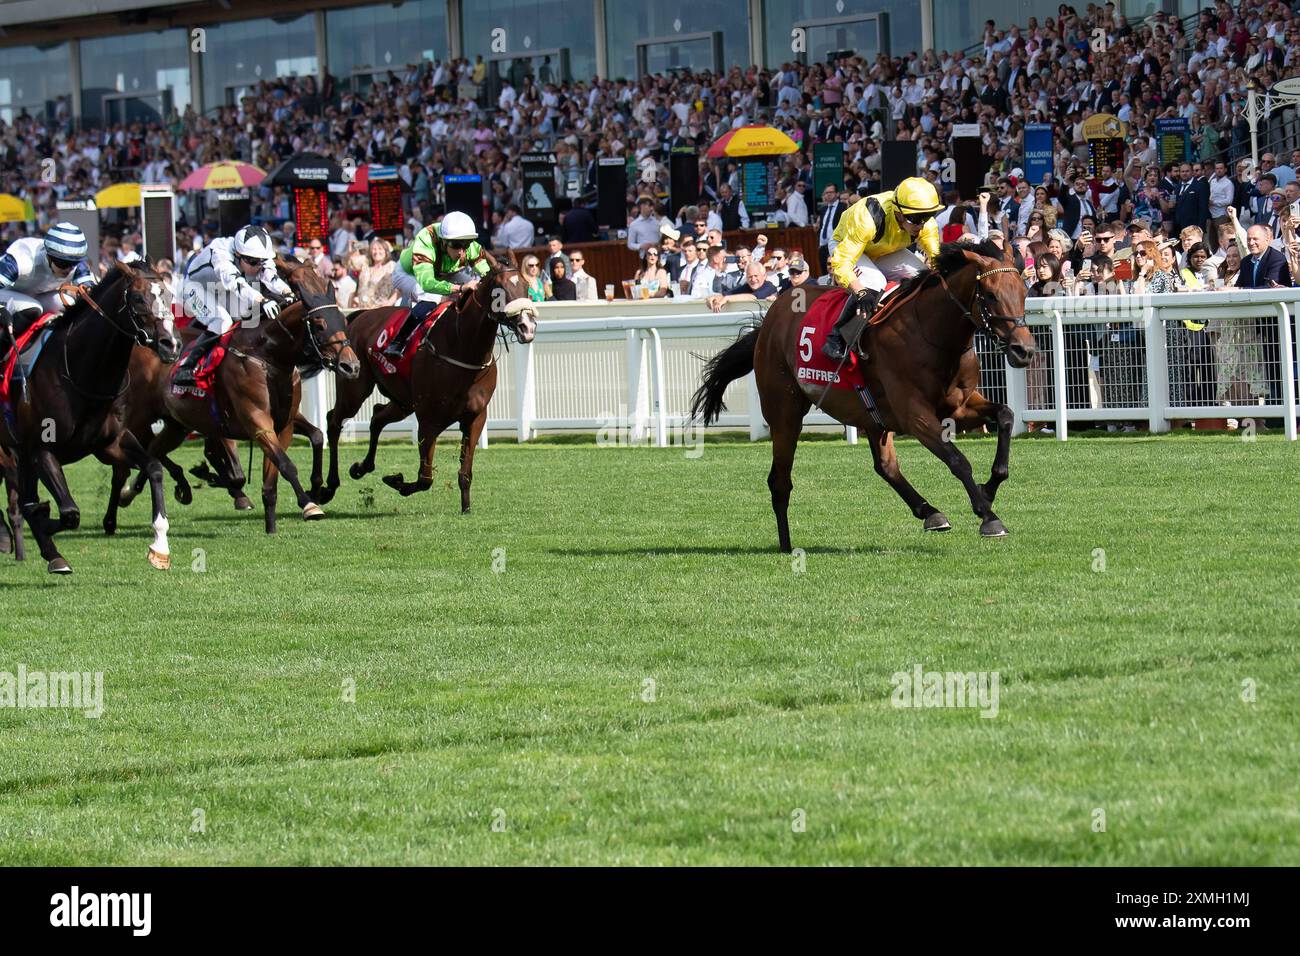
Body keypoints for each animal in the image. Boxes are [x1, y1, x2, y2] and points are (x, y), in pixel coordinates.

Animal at [0, 261, 180, 572]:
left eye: (169, 295)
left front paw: (160, 546)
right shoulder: (40, 449)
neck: (81, 372)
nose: (171, 344)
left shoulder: (111, 442)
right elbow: (68, 512)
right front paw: (44, 520)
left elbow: (154, 468)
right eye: (138, 298)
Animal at [112, 257, 361, 535]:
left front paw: (288, 510)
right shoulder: (255, 422)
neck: (268, 356)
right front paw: (309, 504)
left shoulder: (283, 423)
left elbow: (299, 451)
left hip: (176, 423)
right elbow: (285, 464)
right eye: (319, 324)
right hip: (138, 416)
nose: (351, 365)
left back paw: (144, 492)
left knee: (153, 449)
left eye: (342, 320)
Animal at [323, 254, 538, 509]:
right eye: (500, 291)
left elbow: (465, 472)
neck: (462, 346)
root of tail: (362, 315)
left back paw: (361, 467)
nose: (528, 327)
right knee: (333, 421)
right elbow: (425, 478)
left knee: (376, 416)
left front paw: (466, 508)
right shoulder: (428, 419)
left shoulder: (475, 417)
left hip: (403, 402)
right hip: (354, 389)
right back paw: (327, 487)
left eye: (526, 286)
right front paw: (397, 481)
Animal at [691, 239, 1034, 554]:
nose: (1024, 350)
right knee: (780, 479)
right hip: (784, 411)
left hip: (871, 415)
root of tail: (770, 320)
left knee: (885, 466)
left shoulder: (958, 406)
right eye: (990, 295)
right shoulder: (915, 415)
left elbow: (1005, 416)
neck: (930, 333)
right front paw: (989, 517)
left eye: (1023, 291)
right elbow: (958, 460)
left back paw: (930, 512)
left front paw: (988, 489)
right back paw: (787, 546)